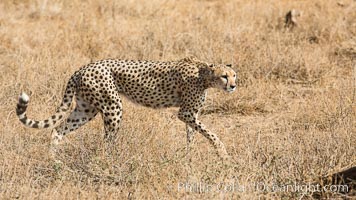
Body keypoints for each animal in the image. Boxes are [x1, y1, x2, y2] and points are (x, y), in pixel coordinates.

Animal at [16, 56, 236, 159]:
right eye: (224, 76)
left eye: (234, 75)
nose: (233, 86)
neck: (203, 75)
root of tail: (82, 68)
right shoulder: (186, 112)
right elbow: (211, 133)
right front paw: (223, 154)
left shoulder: (191, 114)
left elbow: (192, 135)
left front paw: (188, 157)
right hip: (112, 107)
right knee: (107, 142)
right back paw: (113, 161)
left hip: (85, 109)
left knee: (57, 129)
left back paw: (55, 160)